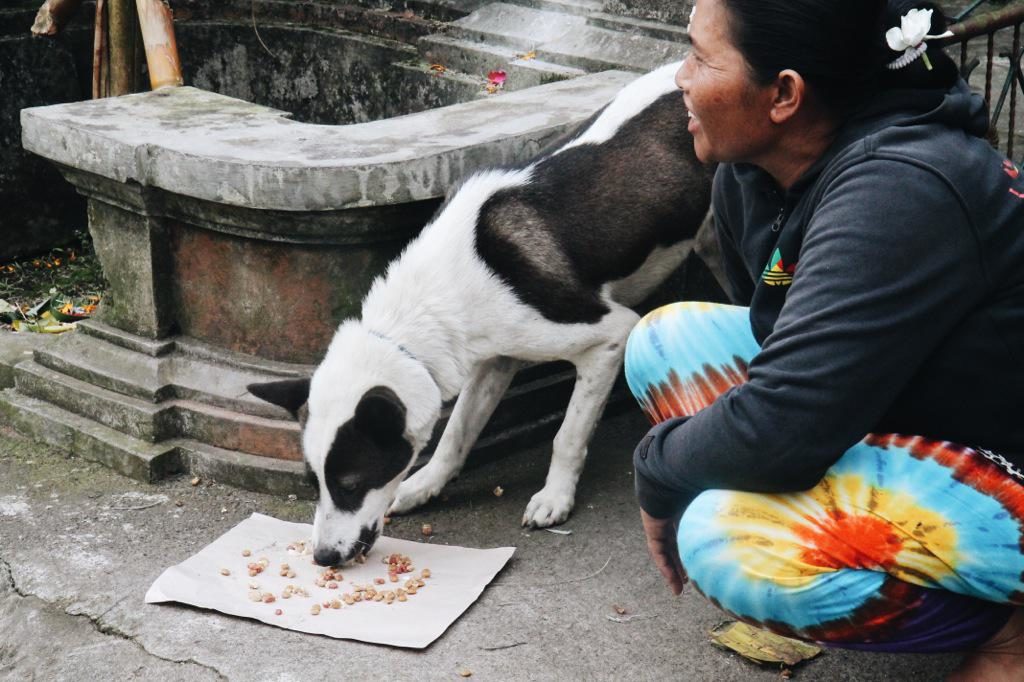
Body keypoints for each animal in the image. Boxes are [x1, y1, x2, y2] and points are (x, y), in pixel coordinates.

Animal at [247, 61, 712, 565]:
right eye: (313, 483)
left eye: (350, 484)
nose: (324, 558)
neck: (418, 315)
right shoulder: (494, 356)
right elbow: (456, 432)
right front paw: (424, 485)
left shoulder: (609, 335)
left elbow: (567, 434)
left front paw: (555, 497)